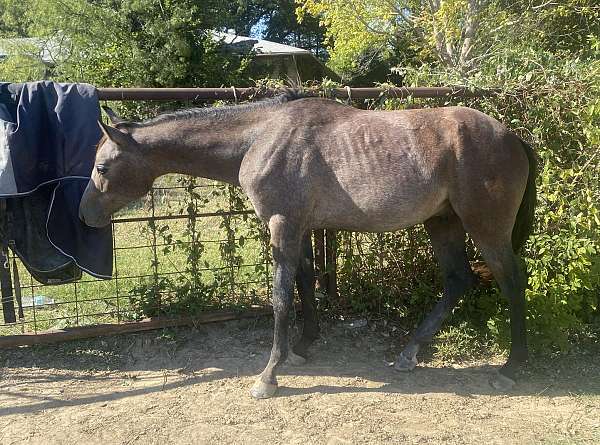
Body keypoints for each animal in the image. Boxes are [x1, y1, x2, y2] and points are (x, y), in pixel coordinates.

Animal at [78, 92, 536, 398]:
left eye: (102, 167)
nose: (84, 215)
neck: (261, 136)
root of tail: (512, 137)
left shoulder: (283, 226)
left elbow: (281, 297)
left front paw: (268, 375)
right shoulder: (298, 229)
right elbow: (305, 284)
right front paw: (301, 347)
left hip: (485, 227)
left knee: (512, 281)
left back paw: (512, 367)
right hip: (442, 223)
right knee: (458, 280)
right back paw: (409, 353)